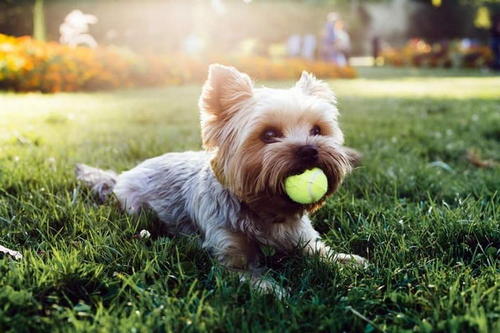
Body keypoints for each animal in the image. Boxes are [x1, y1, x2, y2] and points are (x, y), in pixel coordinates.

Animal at [78, 64, 368, 296]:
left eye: (317, 130)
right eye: (269, 134)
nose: (309, 150)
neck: (267, 210)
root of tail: (121, 176)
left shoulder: (304, 239)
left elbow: (321, 251)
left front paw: (349, 261)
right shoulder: (229, 256)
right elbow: (249, 277)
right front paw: (275, 292)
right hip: (135, 206)